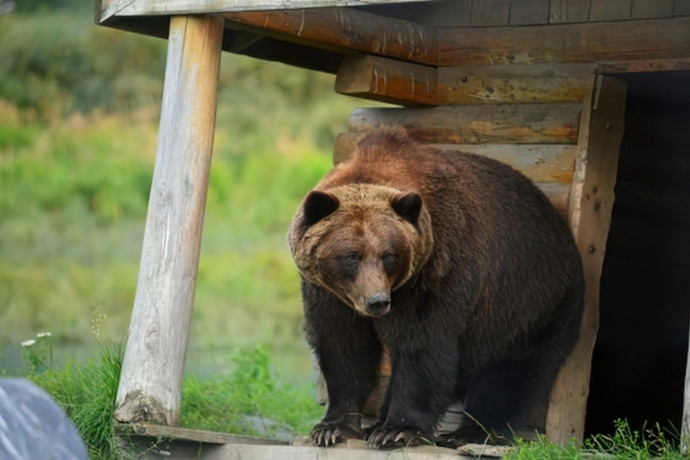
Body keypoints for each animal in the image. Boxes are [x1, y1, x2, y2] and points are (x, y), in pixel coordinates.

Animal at [287, 127, 584, 448]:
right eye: (351, 256)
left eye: (389, 255)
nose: (378, 301)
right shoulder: (330, 294)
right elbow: (344, 347)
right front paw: (333, 427)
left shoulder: (436, 271)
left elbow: (422, 345)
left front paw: (398, 429)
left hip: (529, 304)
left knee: (510, 374)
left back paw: (469, 432)